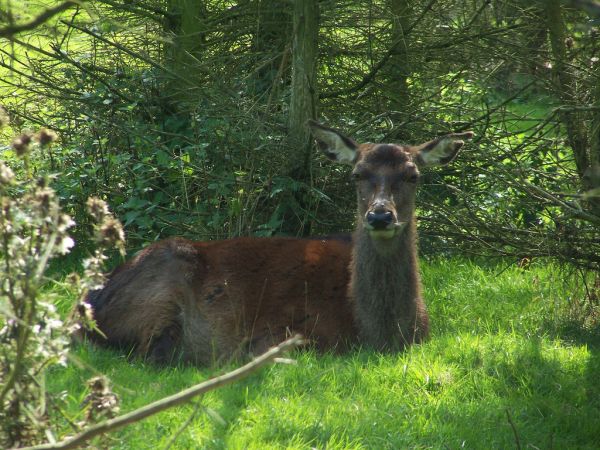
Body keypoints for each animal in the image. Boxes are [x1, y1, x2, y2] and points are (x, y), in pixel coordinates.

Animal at [79, 121, 474, 364]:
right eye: (357, 174)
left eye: (413, 175)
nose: (380, 216)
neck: (380, 332)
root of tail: (86, 302)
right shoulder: (276, 333)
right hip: (160, 293)